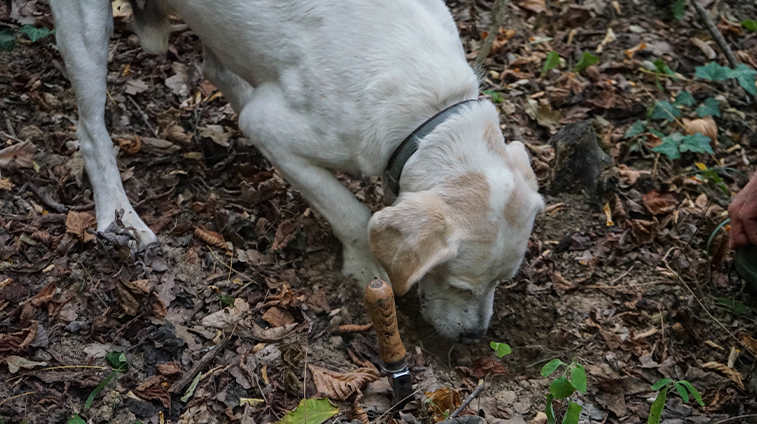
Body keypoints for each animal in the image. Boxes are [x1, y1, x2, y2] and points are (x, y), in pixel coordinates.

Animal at [50, 0, 540, 342]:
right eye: (458, 284)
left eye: (503, 282)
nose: (475, 337)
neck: (429, 110)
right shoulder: (275, 129)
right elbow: (353, 215)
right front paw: (365, 268)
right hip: (85, 28)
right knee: (91, 131)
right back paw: (120, 218)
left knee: (216, 68)